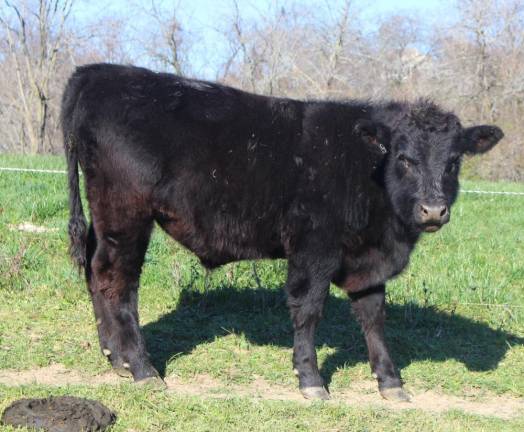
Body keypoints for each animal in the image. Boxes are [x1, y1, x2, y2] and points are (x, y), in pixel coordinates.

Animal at [62, 63, 504, 402]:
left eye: (454, 161)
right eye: (404, 158)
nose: (433, 209)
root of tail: (97, 72)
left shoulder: (368, 259)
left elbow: (374, 315)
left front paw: (390, 381)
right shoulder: (314, 249)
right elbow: (308, 311)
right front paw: (310, 380)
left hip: (104, 218)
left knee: (95, 273)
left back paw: (114, 357)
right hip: (125, 214)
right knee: (117, 281)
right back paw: (141, 368)